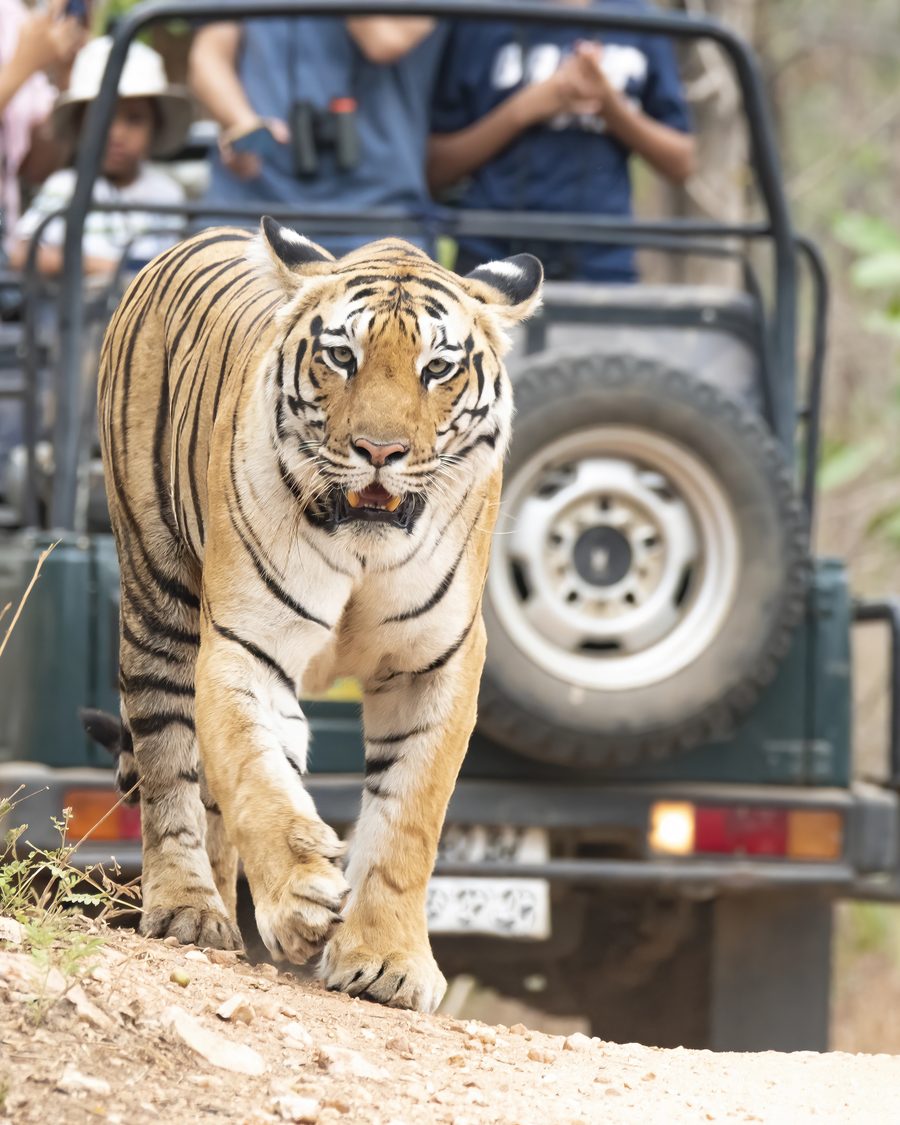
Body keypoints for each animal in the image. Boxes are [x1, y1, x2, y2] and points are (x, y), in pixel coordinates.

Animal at [95, 218, 542, 1013]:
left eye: (436, 368)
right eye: (342, 356)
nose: (379, 451)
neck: (363, 545)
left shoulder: (436, 663)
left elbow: (406, 818)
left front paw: (387, 960)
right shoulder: (244, 642)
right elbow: (254, 775)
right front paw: (303, 900)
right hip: (157, 595)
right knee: (171, 764)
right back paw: (189, 908)